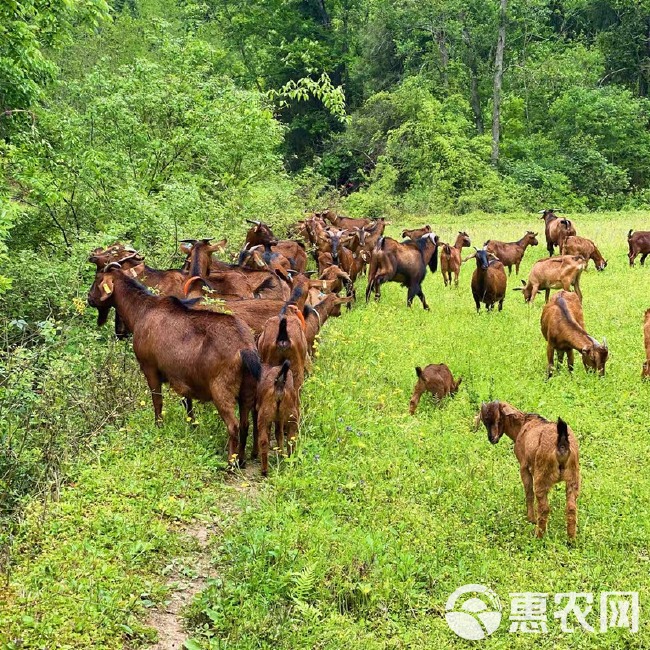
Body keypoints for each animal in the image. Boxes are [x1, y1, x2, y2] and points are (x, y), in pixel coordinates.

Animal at [474, 400, 580, 536]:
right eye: (484, 421)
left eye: (499, 419)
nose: (492, 438)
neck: (523, 424)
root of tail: (562, 444)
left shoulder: (524, 466)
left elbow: (529, 492)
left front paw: (531, 519)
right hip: (573, 476)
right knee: (571, 508)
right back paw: (571, 538)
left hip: (542, 475)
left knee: (544, 508)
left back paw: (538, 535)